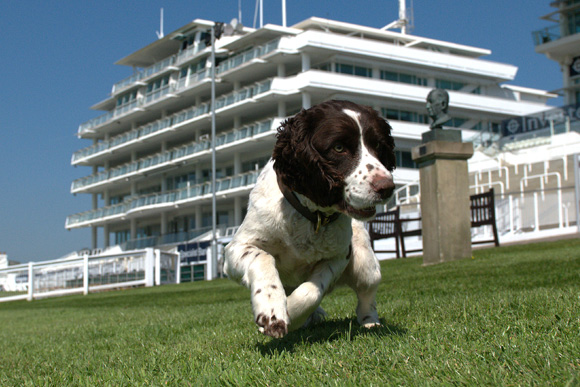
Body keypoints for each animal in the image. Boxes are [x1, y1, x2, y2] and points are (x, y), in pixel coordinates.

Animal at [224, 101, 396, 340]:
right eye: (339, 148)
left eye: (378, 145)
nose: (387, 188)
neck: (311, 215)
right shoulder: (235, 249)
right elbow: (263, 257)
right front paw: (272, 309)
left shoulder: (339, 256)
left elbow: (312, 291)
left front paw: (291, 312)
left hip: (365, 263)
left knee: (366, 297)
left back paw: (370, 323)